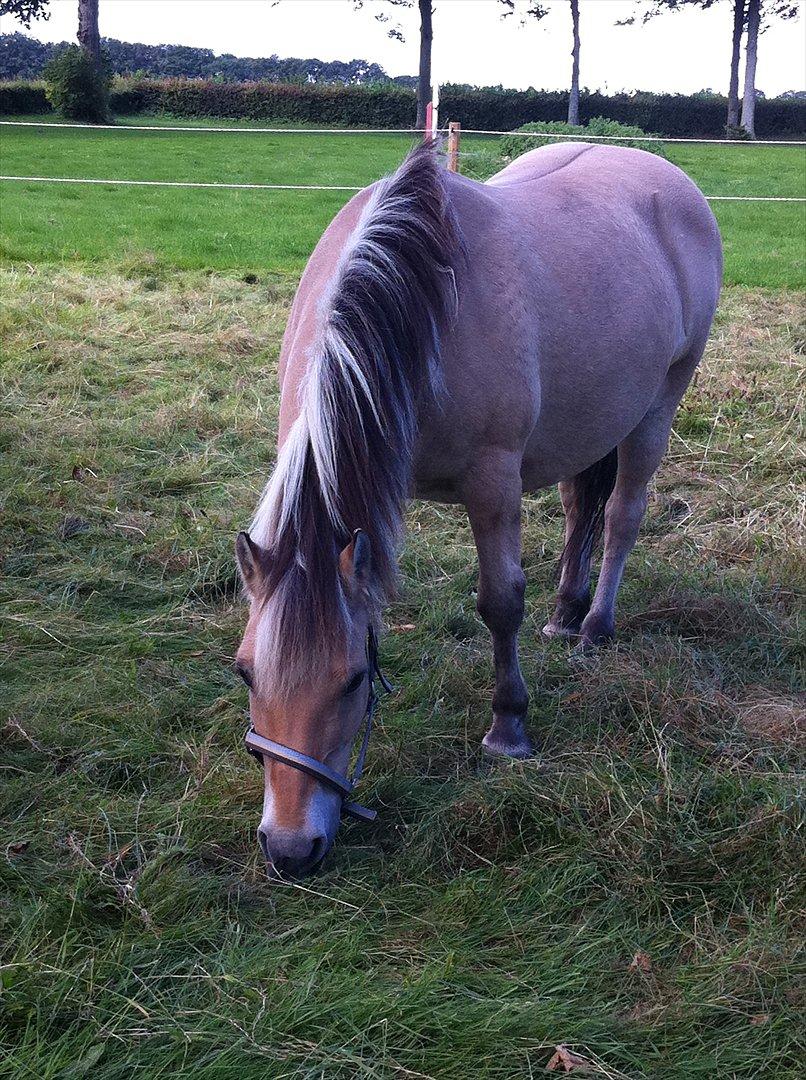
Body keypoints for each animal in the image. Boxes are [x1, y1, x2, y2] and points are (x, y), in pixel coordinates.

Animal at [235, 139, 717, 876]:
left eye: (353, 680)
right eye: (245, 673)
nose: (290, 848)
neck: (419, 310)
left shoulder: (493, 481)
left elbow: (499, 603)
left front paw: (508, 727)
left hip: (658, 405)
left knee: (622, 515)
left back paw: (594, 627)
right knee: (579, 507)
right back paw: (564, 613)